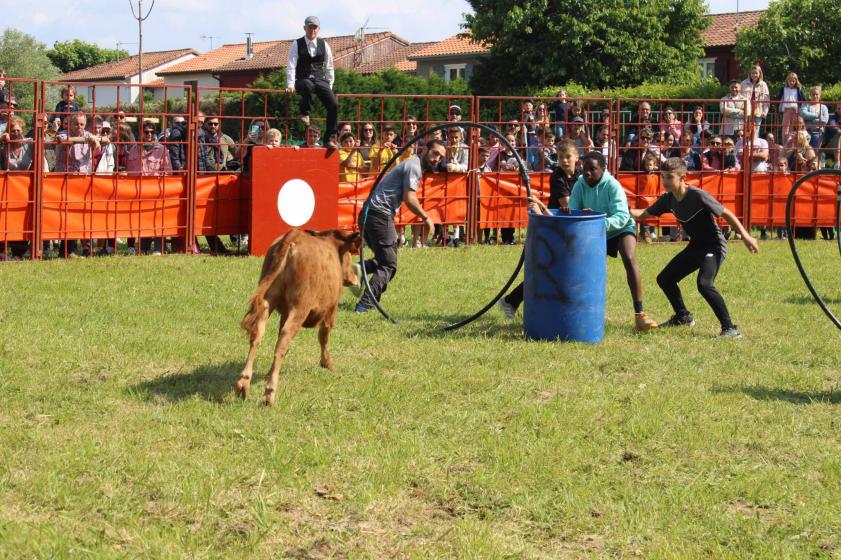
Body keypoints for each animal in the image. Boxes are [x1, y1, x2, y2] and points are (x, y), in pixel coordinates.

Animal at [235, 230, 362, 404]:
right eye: (350, 254)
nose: (355, 279)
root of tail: (293, 237)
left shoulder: (285, 313)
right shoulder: (331, 309)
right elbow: (324, 337)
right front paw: (327, 363)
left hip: (269, 300)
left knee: (258, 336)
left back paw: (244, 384)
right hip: (300, 307)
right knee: (283, 341)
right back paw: (270, 392)